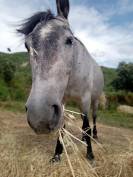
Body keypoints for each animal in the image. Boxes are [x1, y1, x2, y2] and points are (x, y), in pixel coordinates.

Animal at [17, 0, 104, 162]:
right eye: (27, 46)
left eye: (69, 40)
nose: (39, 116)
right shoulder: (61, 102)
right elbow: (62, 128)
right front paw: (57, 154)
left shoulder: (85, 99)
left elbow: (86, 125)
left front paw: (90, 155)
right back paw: (83, 138)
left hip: (94, 100)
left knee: (93, 119)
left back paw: (93, 136)